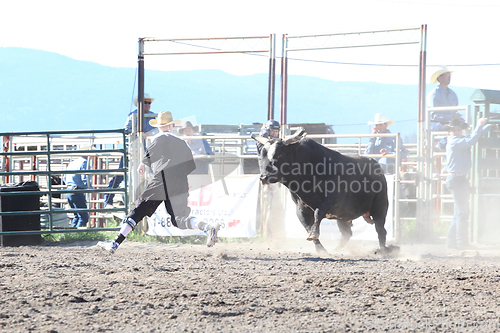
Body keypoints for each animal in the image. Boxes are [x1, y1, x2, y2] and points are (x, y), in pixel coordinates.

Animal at [252, 127, 388, 252]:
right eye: (261, 156)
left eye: (279, 154)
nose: (264, 177)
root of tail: (376, 166)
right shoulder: (300, 209)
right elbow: (307, 226)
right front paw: (320, 249)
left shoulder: (329, 200)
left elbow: (317, 213)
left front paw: (314, 234)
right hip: (343, 216)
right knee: (347, 234)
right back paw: (335, 251)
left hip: (380, 206)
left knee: (380, 229)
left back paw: (383, 250)